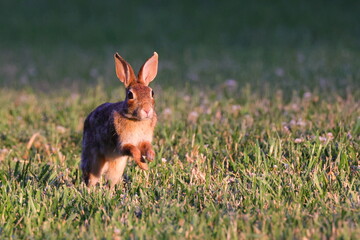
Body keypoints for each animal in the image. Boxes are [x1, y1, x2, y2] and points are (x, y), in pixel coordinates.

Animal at [81, 52, 158, 188]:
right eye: (130, 95)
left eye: (152, 93)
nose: (147, 110)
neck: (136, 120)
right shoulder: (122, 144)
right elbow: (133, 150)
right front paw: (144, 166)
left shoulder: (144, 140)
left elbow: (147, 146)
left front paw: (150, 157)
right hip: (94, 161)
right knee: (91, 178)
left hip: (117, 166)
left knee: (111, 180)